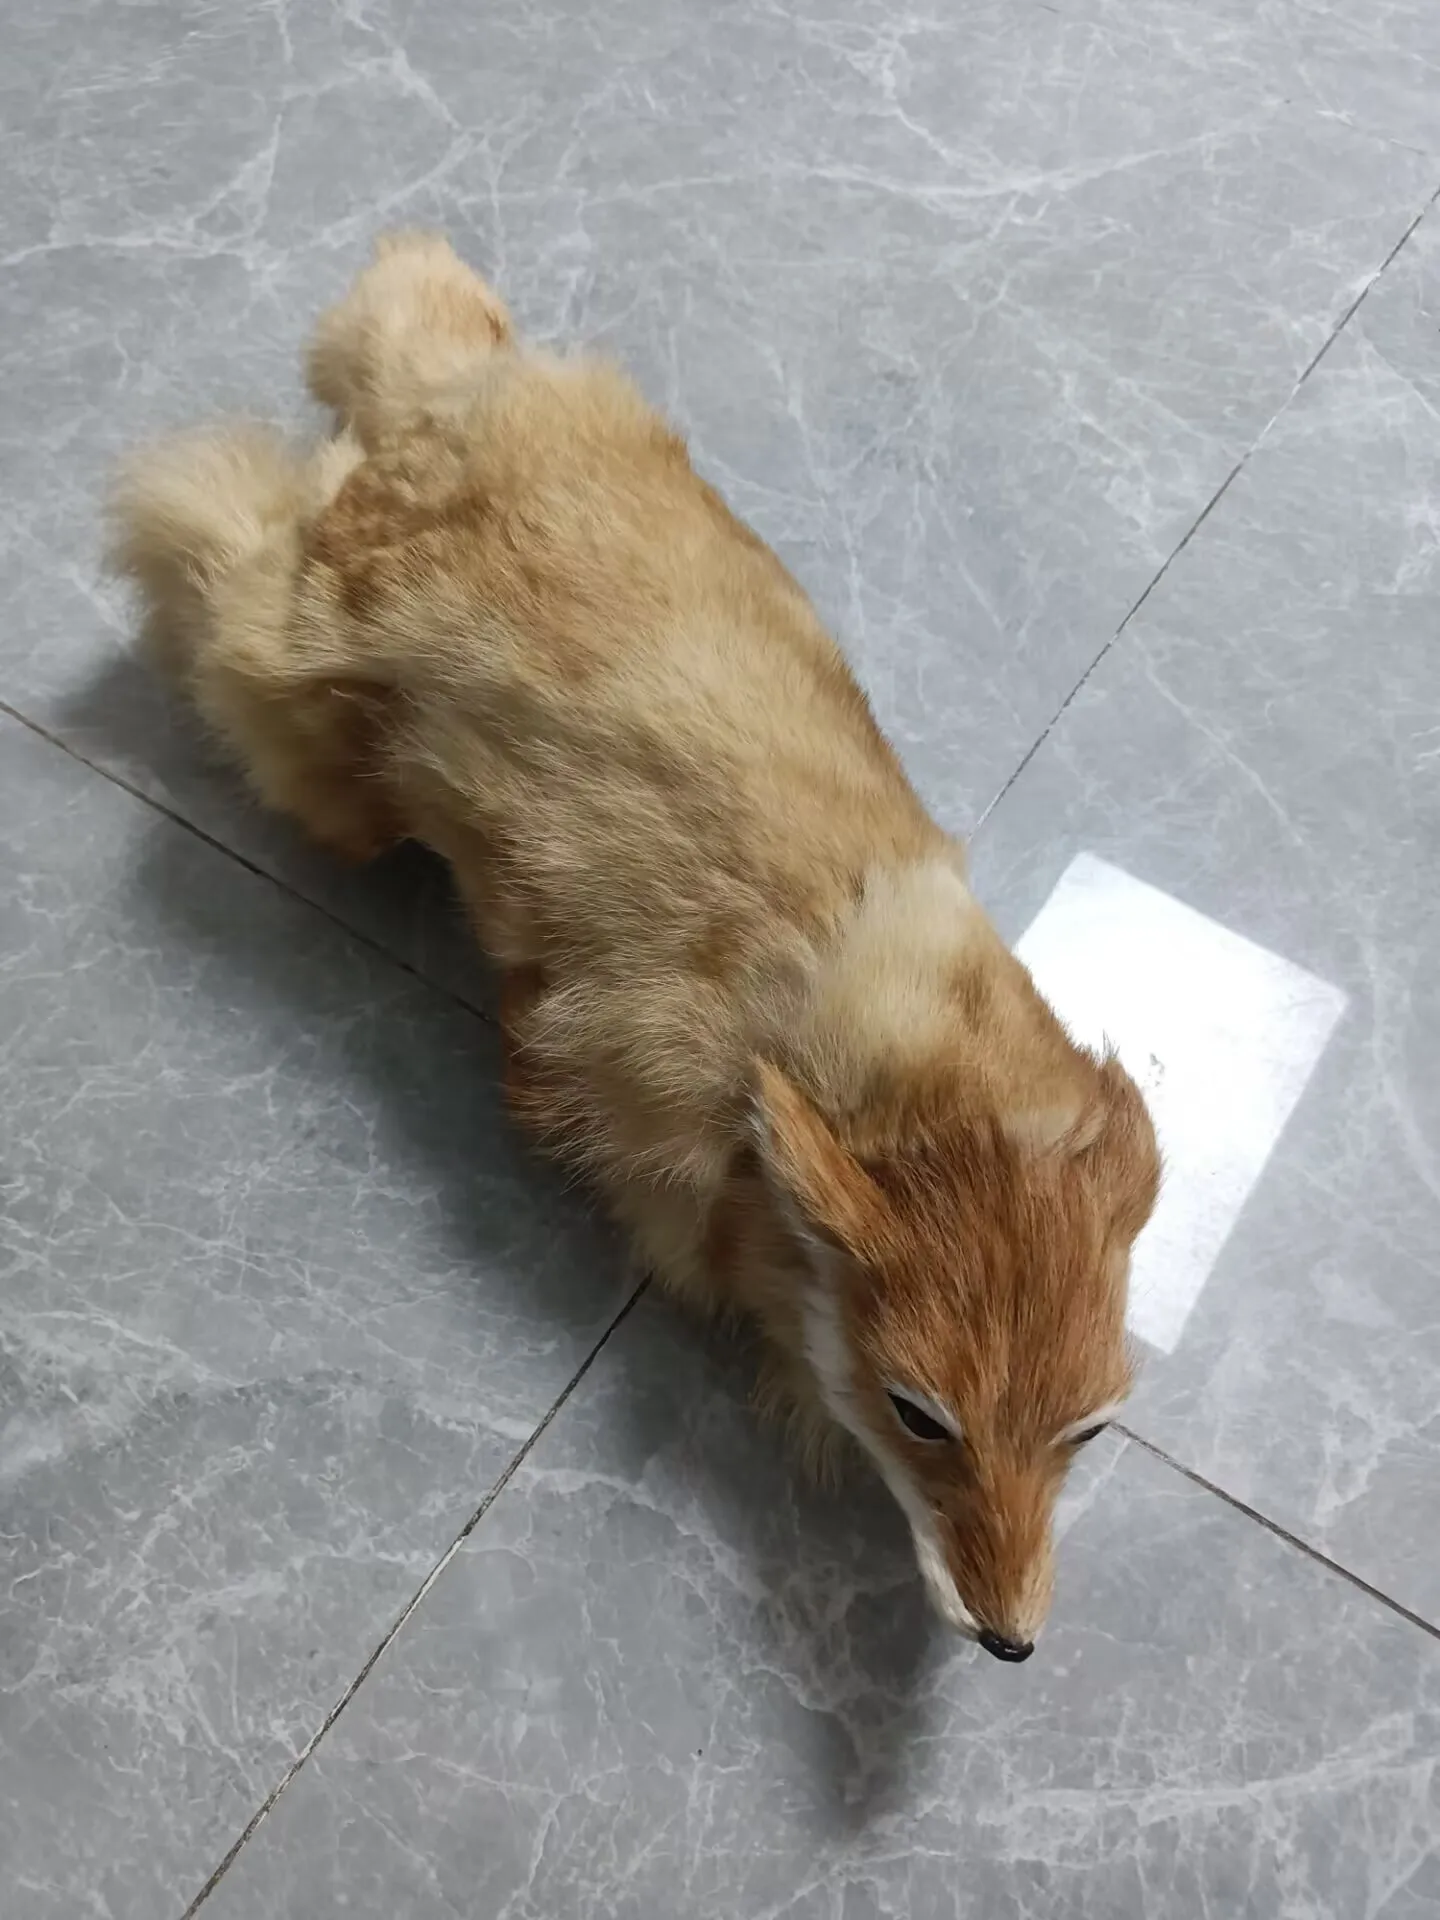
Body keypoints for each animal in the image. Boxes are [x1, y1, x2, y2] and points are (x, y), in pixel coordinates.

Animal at [109, 232, 1161, 1662]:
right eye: (918, 1416)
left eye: (1087, 1432)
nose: (1011, 1644)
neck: (834, 1034)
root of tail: (458, 399)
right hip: (304, 726)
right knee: (208, 500)